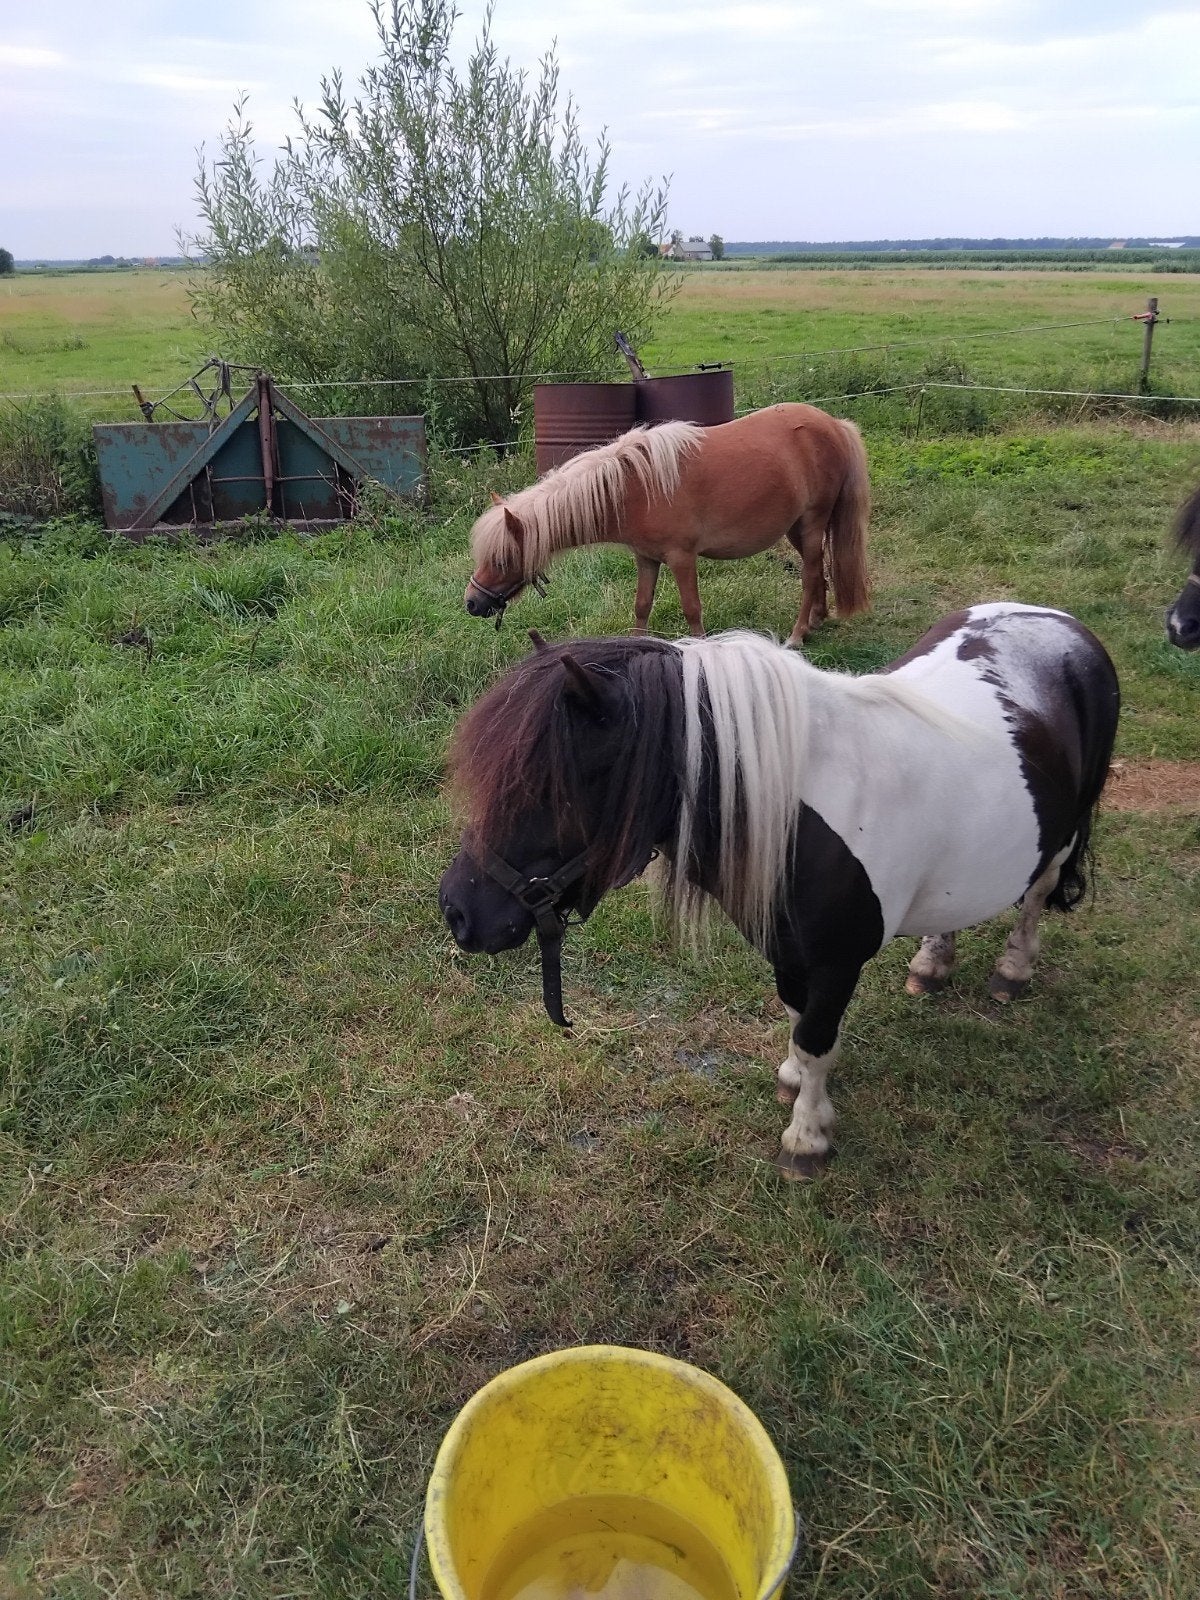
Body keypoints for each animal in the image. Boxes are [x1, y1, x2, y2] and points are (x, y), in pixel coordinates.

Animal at [439, 604, 1120, 1179]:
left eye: (553, 789)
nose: (457, 911)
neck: (801, 817)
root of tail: (1064, 625)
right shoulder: (787, 949)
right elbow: (797, 1021)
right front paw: (794, 1079)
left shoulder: (839, 961)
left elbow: (817, 1037)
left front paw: (807, 1138)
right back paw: (932, 962)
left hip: (1061, 840)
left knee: (1037, 897)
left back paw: (1012, 970)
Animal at [463, 402, 870, 644]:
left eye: (502, 559)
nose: (471, 603)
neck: (634, 489)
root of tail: (833, 424)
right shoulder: (646, 558)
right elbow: (642, 605)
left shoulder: (681, 558)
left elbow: (692, 609)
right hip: (796, 527)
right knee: (818, 570)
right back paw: (817, 619)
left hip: (813, 522)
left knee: (810, 575)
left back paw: (798, 635)